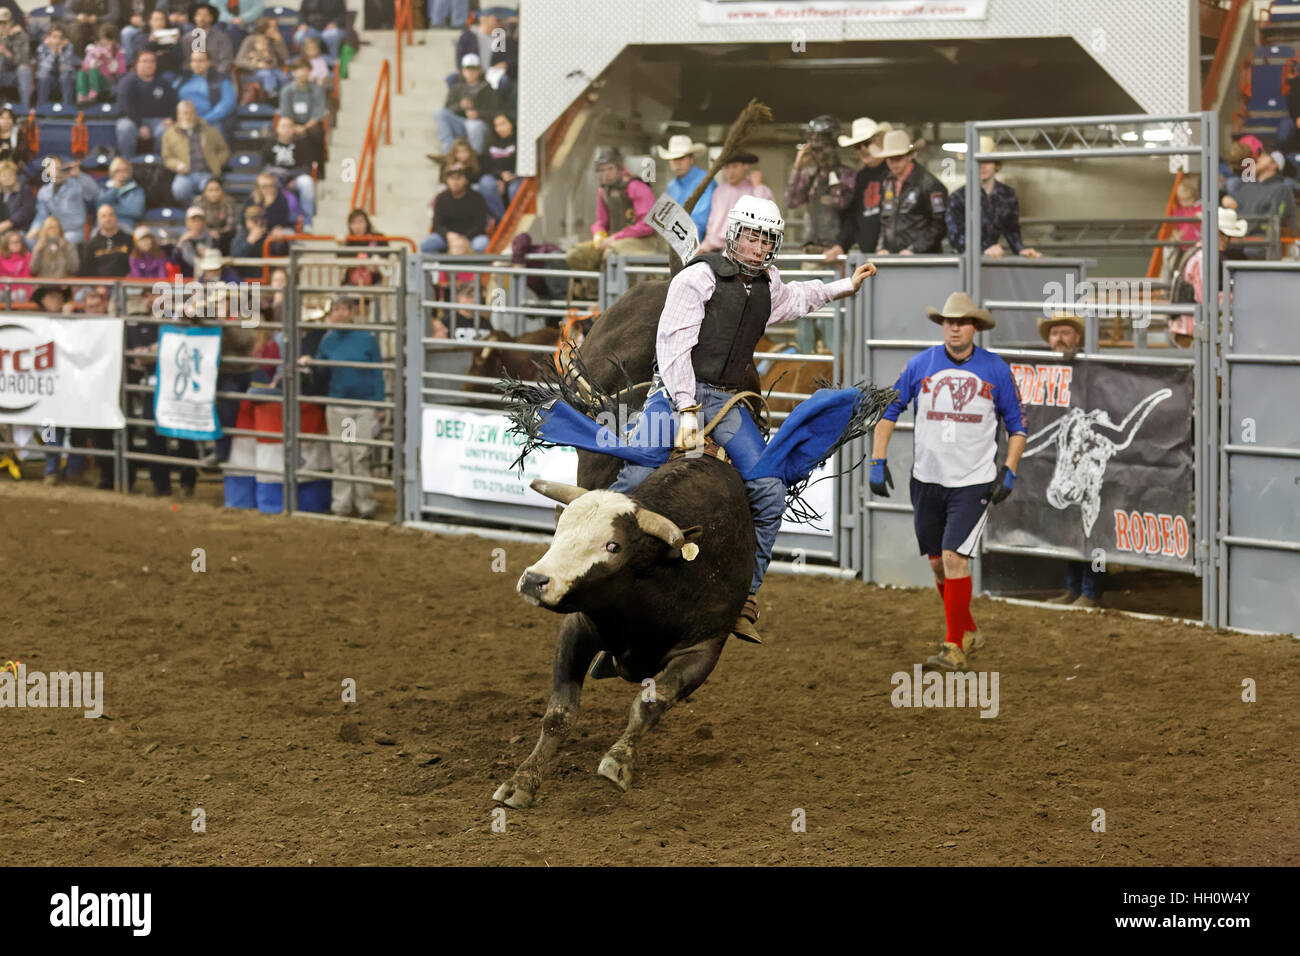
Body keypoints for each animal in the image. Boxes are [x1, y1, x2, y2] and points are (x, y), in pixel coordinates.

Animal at [493, 454, 754, 808]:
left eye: (614, 546)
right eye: (559, 530)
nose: (534, 580)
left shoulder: (705, 648)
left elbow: (650, 703)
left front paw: (618, 762)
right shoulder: (580, 626)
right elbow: (560, 713)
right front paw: (521, 781)